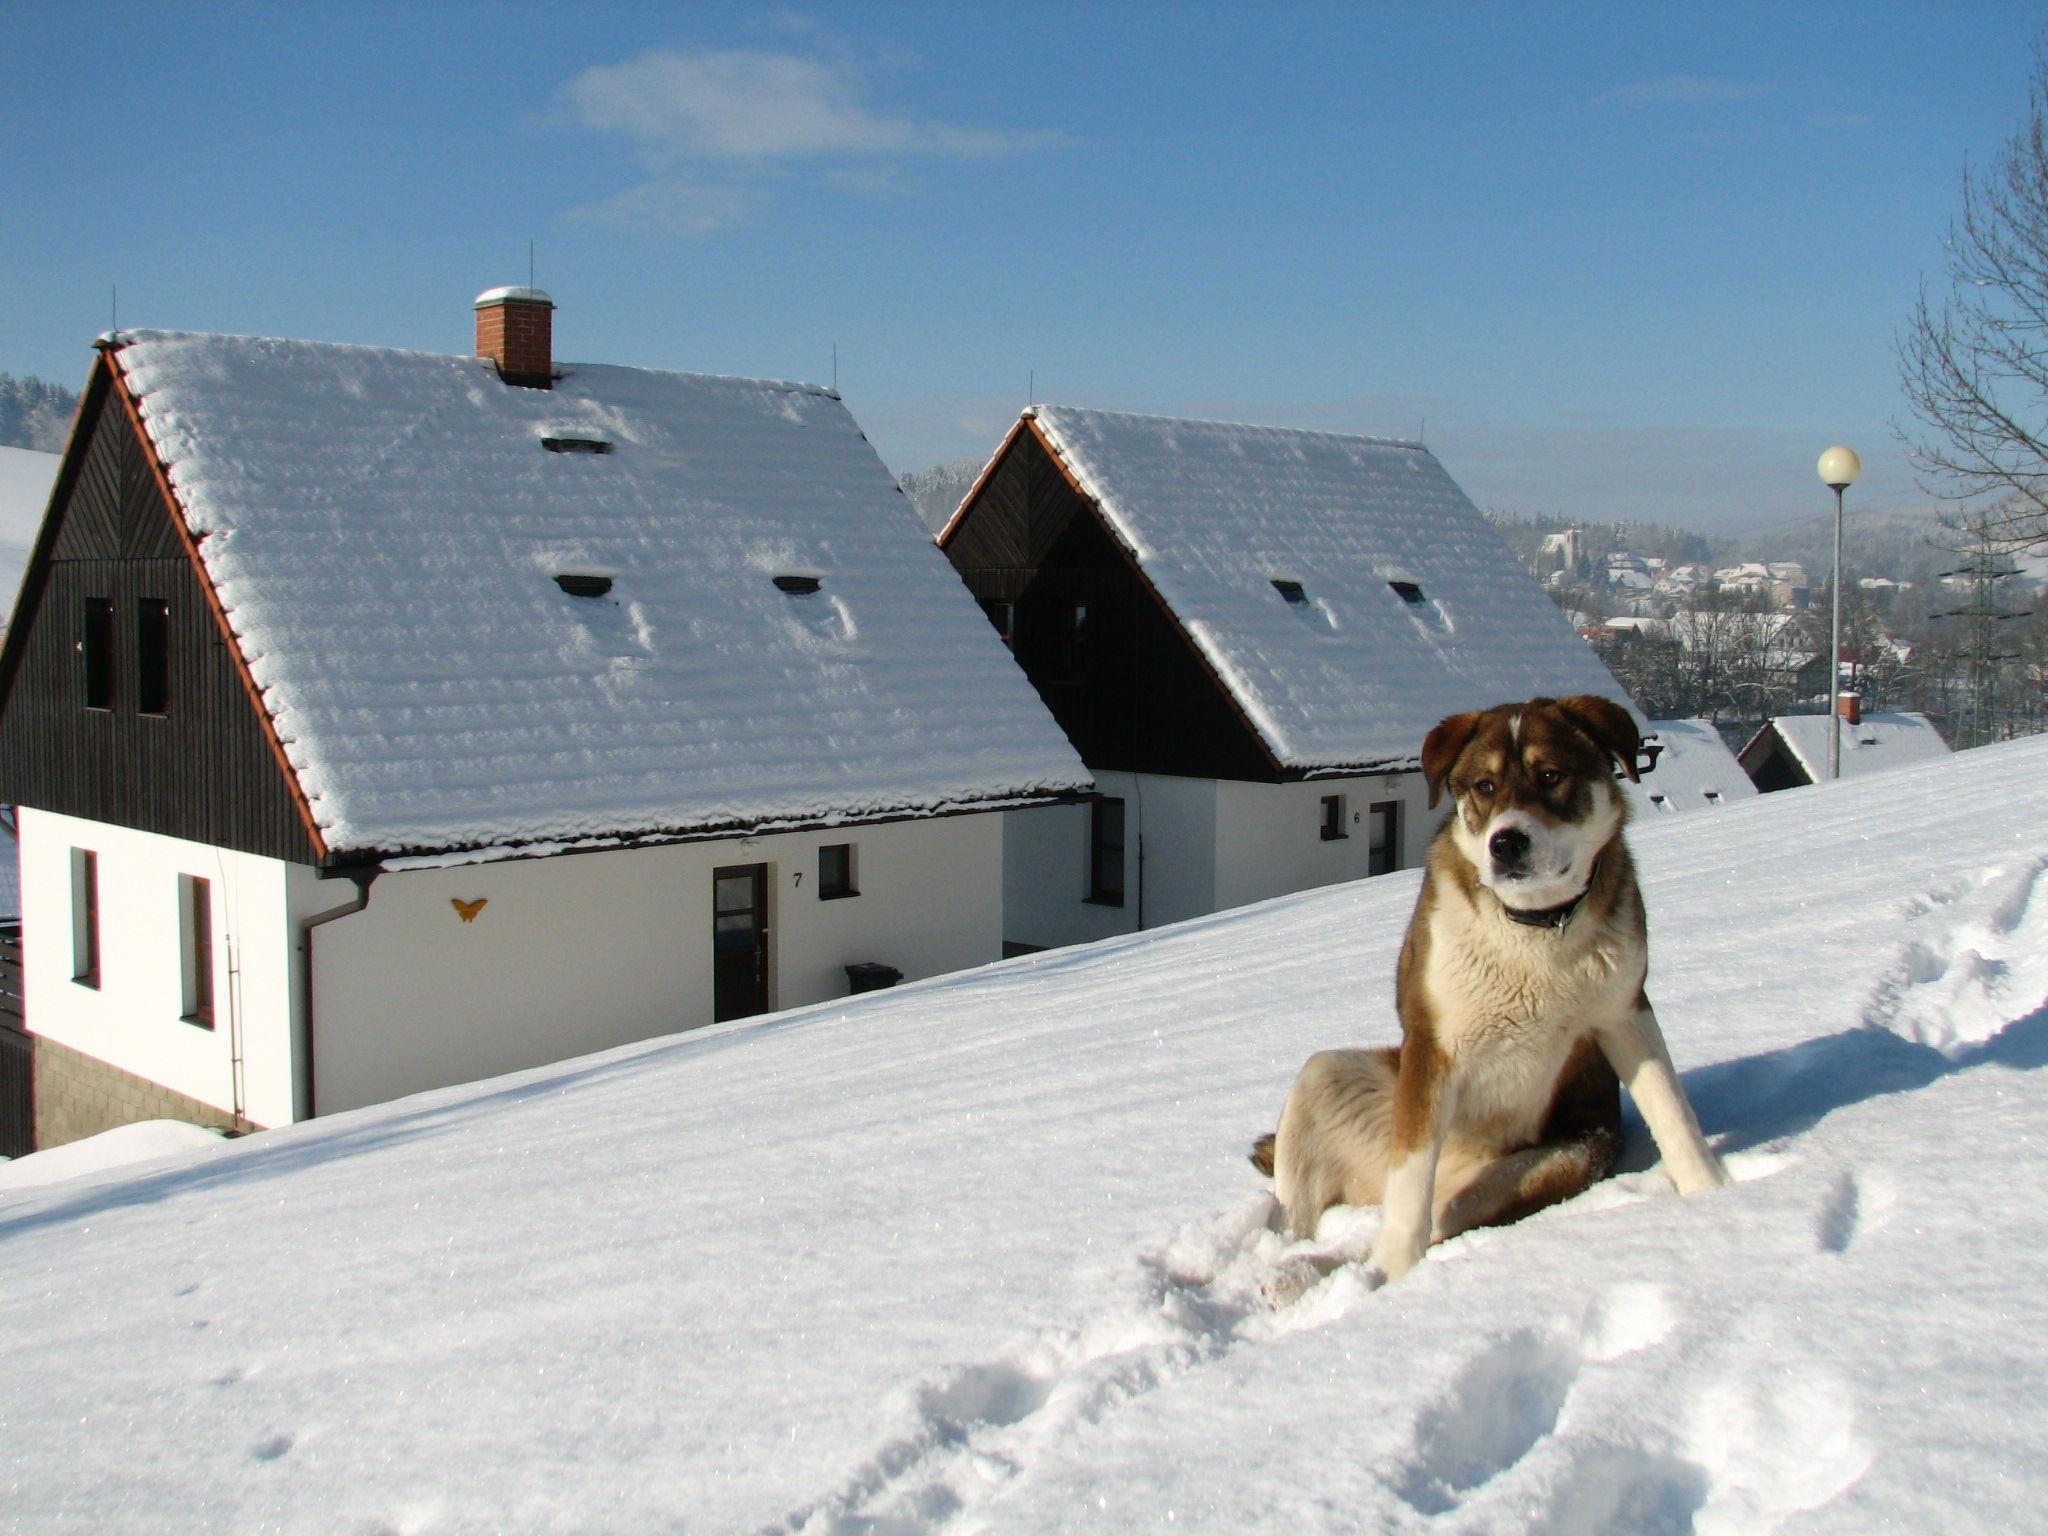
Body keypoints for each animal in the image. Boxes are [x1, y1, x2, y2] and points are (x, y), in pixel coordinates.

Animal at [1245, 696, 1728, 1302]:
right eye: (1484, 786)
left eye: (1551, 776)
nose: (1507, 841)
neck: (1534, 926)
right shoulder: (1431, 1050)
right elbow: (1409, 1193)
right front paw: (1396, 1278)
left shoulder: (1626, 1014)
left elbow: (1674, 1116)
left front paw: (1712, 1193)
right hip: (1333, 1079)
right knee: (1326, 1215)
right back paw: (1297, 1272)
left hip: (1543, 1165)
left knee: (1433, 1221)